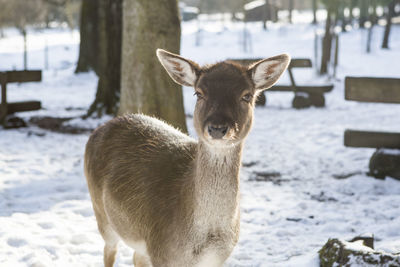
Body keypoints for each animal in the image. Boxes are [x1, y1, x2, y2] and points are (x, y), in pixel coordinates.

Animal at [85, 48, 290, 267]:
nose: (217, 128)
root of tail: (101, 128)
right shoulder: (162, 253)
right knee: (109, 250)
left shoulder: (217, 259)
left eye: (246, 95)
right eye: (199, 93)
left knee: (136, 256)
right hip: (101, 213)